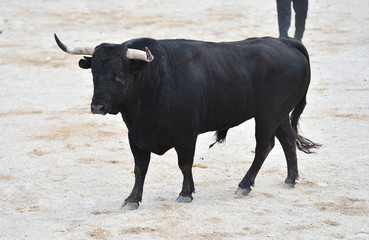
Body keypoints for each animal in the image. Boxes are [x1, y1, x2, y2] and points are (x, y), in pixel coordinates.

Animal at [54, 34, 320, 210]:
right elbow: (140, 168)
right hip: (279, 115)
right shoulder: (136, 136)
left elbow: (184, 164)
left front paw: (185, 194)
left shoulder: (185, 135)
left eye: (119, 75)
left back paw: (245, 184)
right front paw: (132, 199)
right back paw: (290, 179)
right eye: (94, 73)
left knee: (265, 146)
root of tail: (286, 42)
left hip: (268, 115)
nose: (97, 107)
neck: (155, 80)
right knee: (287, 139)